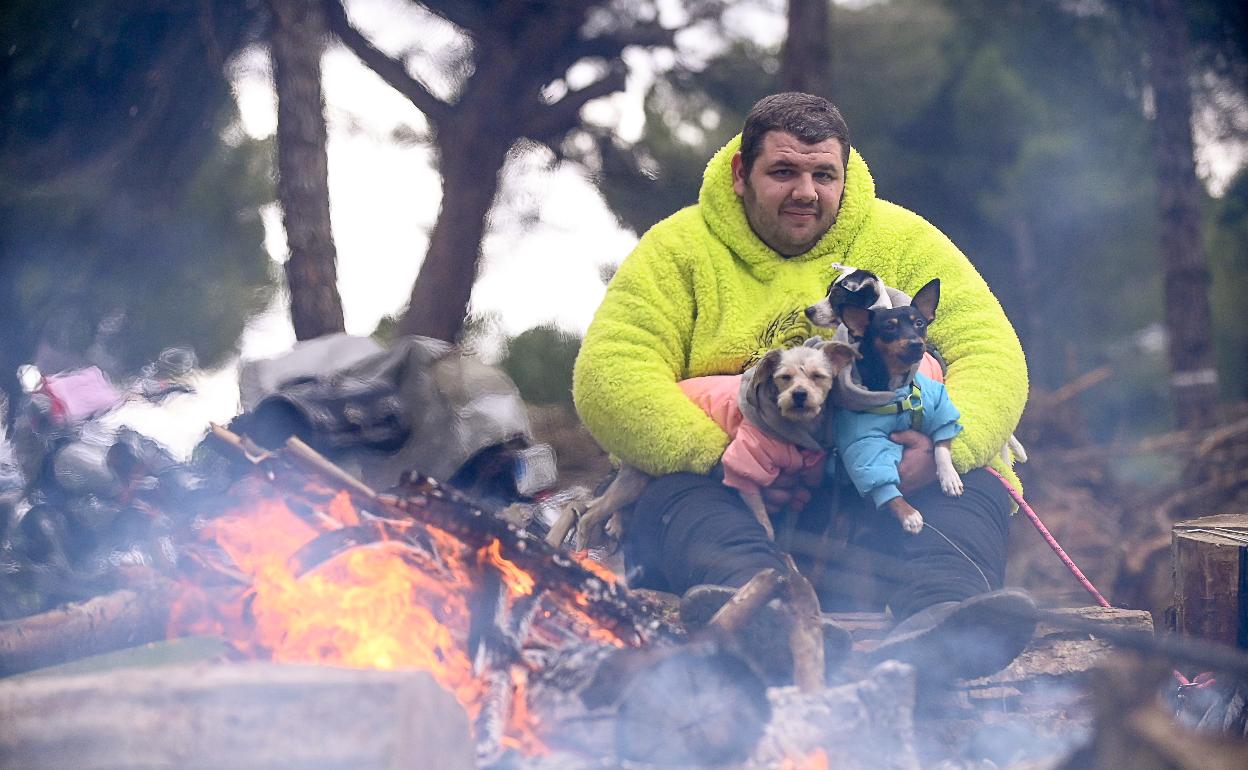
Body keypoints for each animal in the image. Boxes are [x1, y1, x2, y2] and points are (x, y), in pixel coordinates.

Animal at [551, 339, 863, 549]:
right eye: (784, 377)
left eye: (818, 376)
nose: (798, 395)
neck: (795, 430)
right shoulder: (742, 470)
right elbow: (763, 522)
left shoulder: (799, 492)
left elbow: (788, 530)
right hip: (637, 477)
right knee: (590, 514)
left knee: (598, 505)